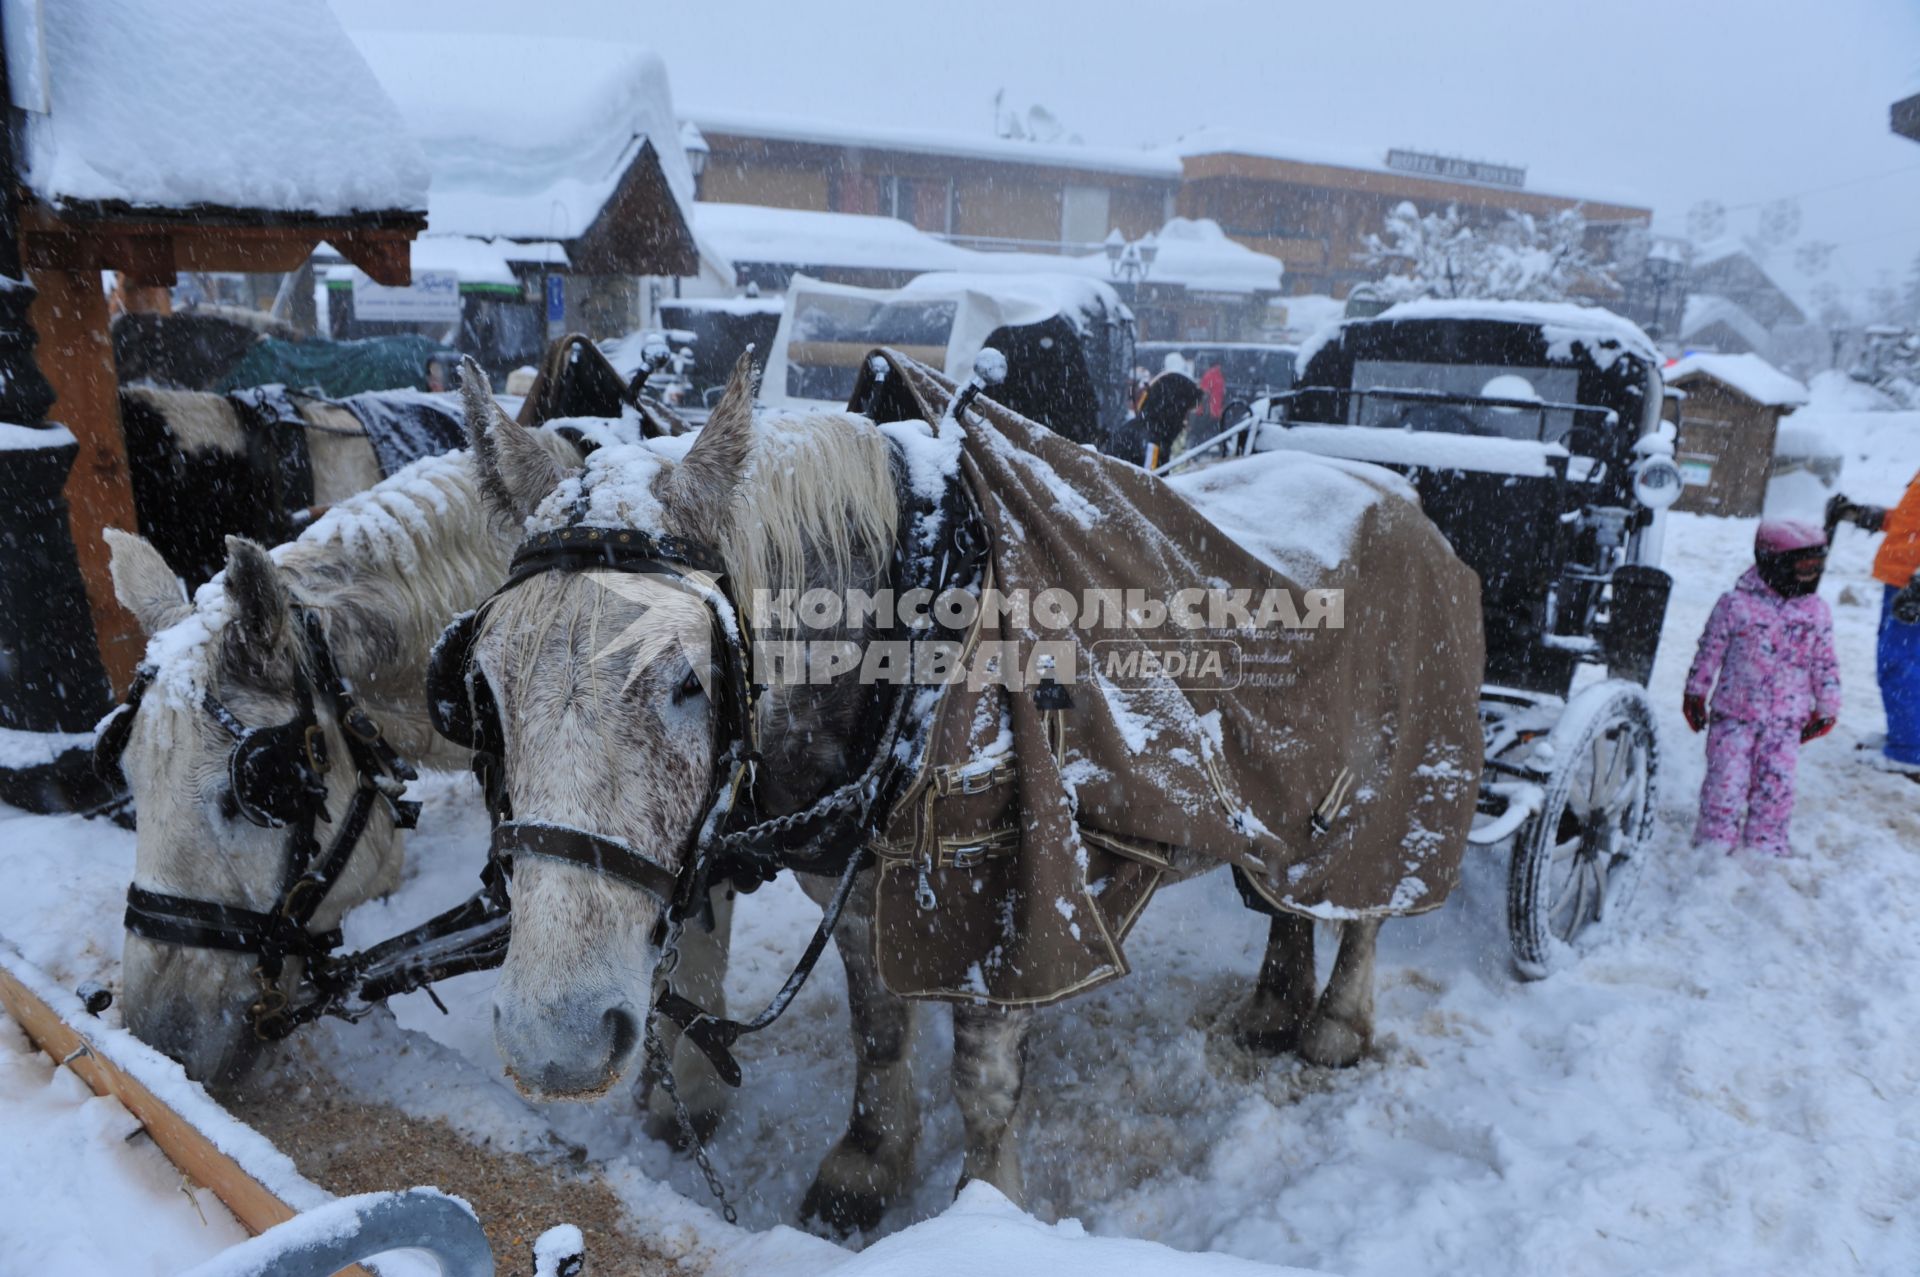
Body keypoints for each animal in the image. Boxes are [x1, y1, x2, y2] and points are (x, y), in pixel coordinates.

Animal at [466, 359, 1390, 1236]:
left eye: (689, 679)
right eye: (485, 685)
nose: (556, 1039)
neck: (921, 635)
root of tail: (1378, 481)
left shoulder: (1012, 894)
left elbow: (984, 1077)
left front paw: (986, 1210)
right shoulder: (858, 888)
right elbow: (877, 1028)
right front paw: (867, 1159)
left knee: (1367, 903)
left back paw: (1335, 1023)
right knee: (1293, 894)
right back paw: (1274, 1005)